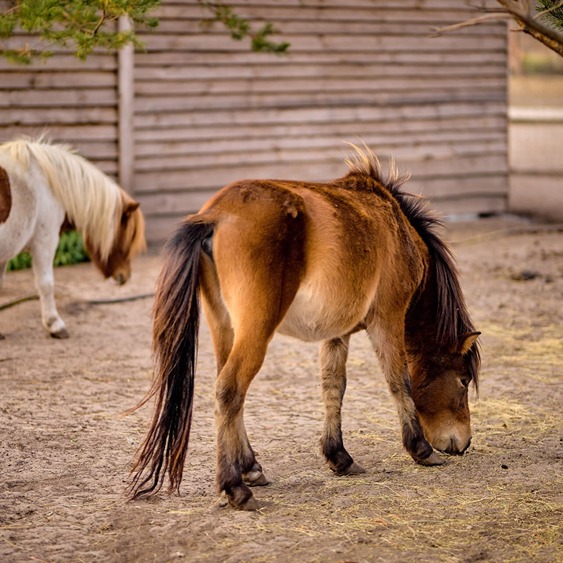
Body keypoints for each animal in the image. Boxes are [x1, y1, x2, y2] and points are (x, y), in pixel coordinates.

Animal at [0, 138, 145, 338]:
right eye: (126, 236)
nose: (125, 276)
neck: (47, 183)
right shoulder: (44, 242)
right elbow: (46, 283)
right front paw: (55, 324)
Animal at [130, 147, 482, 512]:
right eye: (463, 380)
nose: (464, 443)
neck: (395, 225)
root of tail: (216, 216)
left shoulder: (337, 332)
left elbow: (333, 387)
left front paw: (339, 456)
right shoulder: (387, 318)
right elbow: (400, 382)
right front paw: (420, 449)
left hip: (224, 327)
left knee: (229, 393)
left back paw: (250, 467)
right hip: (256, 331)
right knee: (229, 389)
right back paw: (235, 487)